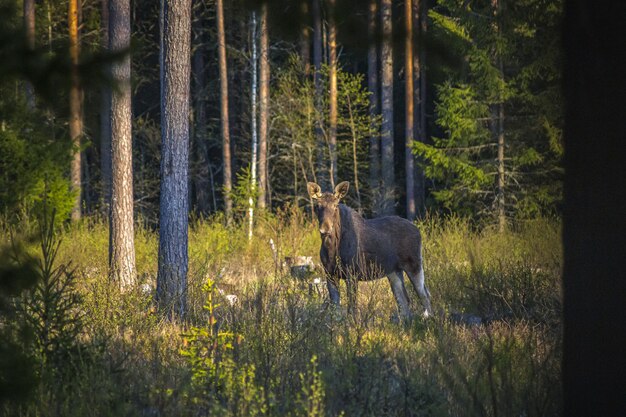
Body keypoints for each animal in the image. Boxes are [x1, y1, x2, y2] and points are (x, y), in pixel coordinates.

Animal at [306, 180, 428, 318]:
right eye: (317, 206)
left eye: (336, 205)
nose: (325, 228)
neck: (332, 249)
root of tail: (418, 230)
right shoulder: (330, 274)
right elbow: (336, 309)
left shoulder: (352, 274)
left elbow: (352, 307)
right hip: (394, 271)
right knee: (404, 300)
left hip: (414, 264)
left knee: (424, 295)